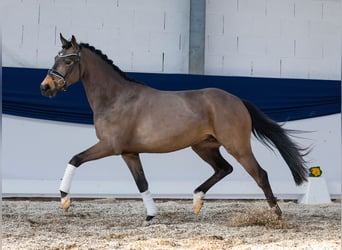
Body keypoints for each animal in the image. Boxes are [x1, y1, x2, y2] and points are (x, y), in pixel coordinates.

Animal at [40, 34, 310, 222]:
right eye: (55, 58)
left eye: (68, 60)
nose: (45, 86)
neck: (116, 98)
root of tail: (236, 100)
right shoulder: (129, 153)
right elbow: (142, 183)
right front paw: (151, 215)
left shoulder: (109, 146)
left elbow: (75, 159)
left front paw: (64, 200)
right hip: (204, 146)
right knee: (224, 168)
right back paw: (197, 201)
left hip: (237, 146)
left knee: (259, 174)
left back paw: (276, 215)